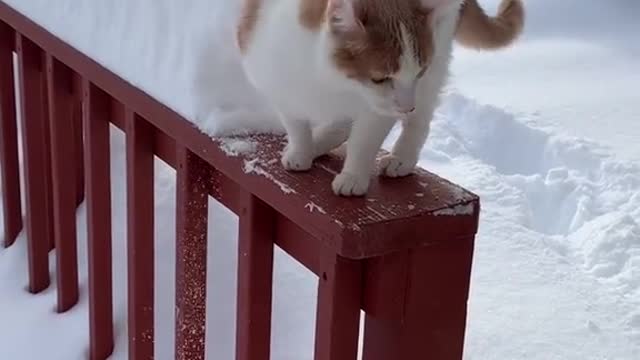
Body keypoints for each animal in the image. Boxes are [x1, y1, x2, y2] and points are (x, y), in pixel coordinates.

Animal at [238, 0, 524, 197]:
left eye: (418, 72)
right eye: (380, 78)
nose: (407, 106)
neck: (334, 83)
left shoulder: (384, 106)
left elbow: (363, 141)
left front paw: (353, 176)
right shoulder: (276, 80)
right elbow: (296, 122)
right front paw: (301, 150)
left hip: (437, 57)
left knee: (422, 117)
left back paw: (402, 156)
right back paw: (320, 141)